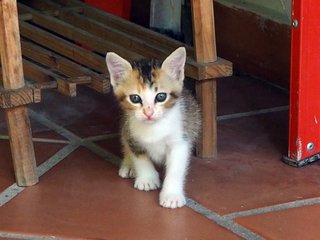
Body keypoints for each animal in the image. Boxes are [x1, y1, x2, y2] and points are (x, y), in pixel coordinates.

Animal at [105, 47, 200, 208]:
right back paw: (129, 165)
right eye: (135, 98)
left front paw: (171, 195)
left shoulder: (180, 140)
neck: (154, 127)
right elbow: (140, 157)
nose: (148, 113)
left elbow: (175, 168)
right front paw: (147, 179)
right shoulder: (132, 135)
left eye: (161, 97)